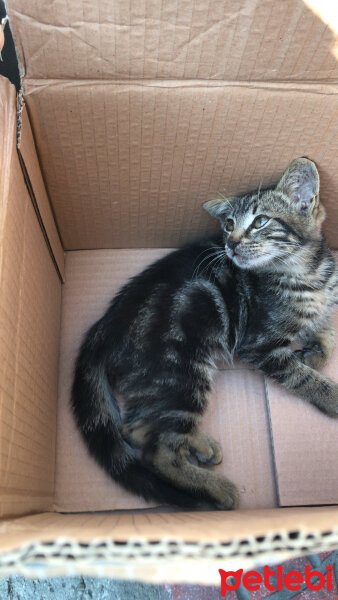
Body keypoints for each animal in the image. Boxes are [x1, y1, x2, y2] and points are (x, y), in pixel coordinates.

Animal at [72, 157, 338, 508]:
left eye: (261, 221)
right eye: (228, 224)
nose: (231, 243)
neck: (305, 273)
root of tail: (103, 328)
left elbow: (326, 333)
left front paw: (313, 353)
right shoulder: (259, 344)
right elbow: (303, 377)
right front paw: (331, 394)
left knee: (139, 428)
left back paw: (200, 446)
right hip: (181, 371)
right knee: (158, 450)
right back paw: (217, 489)